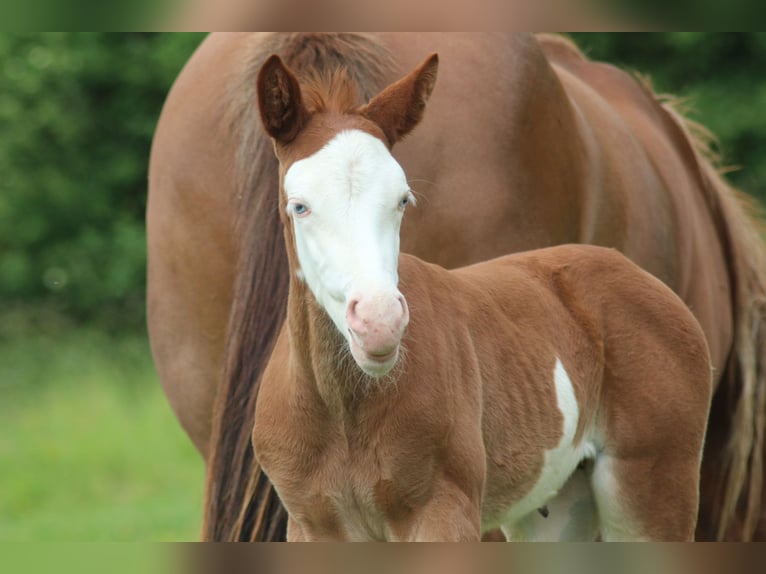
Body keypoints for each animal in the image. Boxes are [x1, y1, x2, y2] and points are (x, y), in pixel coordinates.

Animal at [146, 33, 766, 541]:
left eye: (403, 199)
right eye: (298, 205)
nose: (379, 322)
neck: (343, 411)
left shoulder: (442, 514)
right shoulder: (313, 525)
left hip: (647, 492)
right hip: (557, 509)